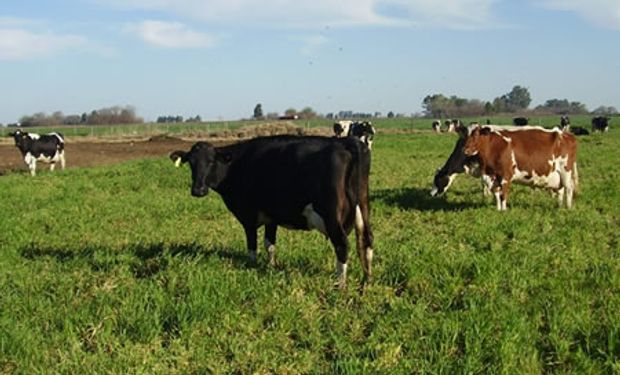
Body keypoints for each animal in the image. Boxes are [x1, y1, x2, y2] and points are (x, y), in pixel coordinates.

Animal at [170, 135, 372, 288]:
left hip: (331, 214)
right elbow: (270, 244)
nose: (198, 190)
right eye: (191, 163)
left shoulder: (248, 215)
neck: (237, 165)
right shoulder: (271, 217)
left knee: (342, 245)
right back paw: (367, 277)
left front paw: (251, 266)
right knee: (367, 239)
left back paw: (341, 284)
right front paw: (272, 266)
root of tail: (347, 141)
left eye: (211, 161)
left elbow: (252, 245)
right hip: (363, 207)